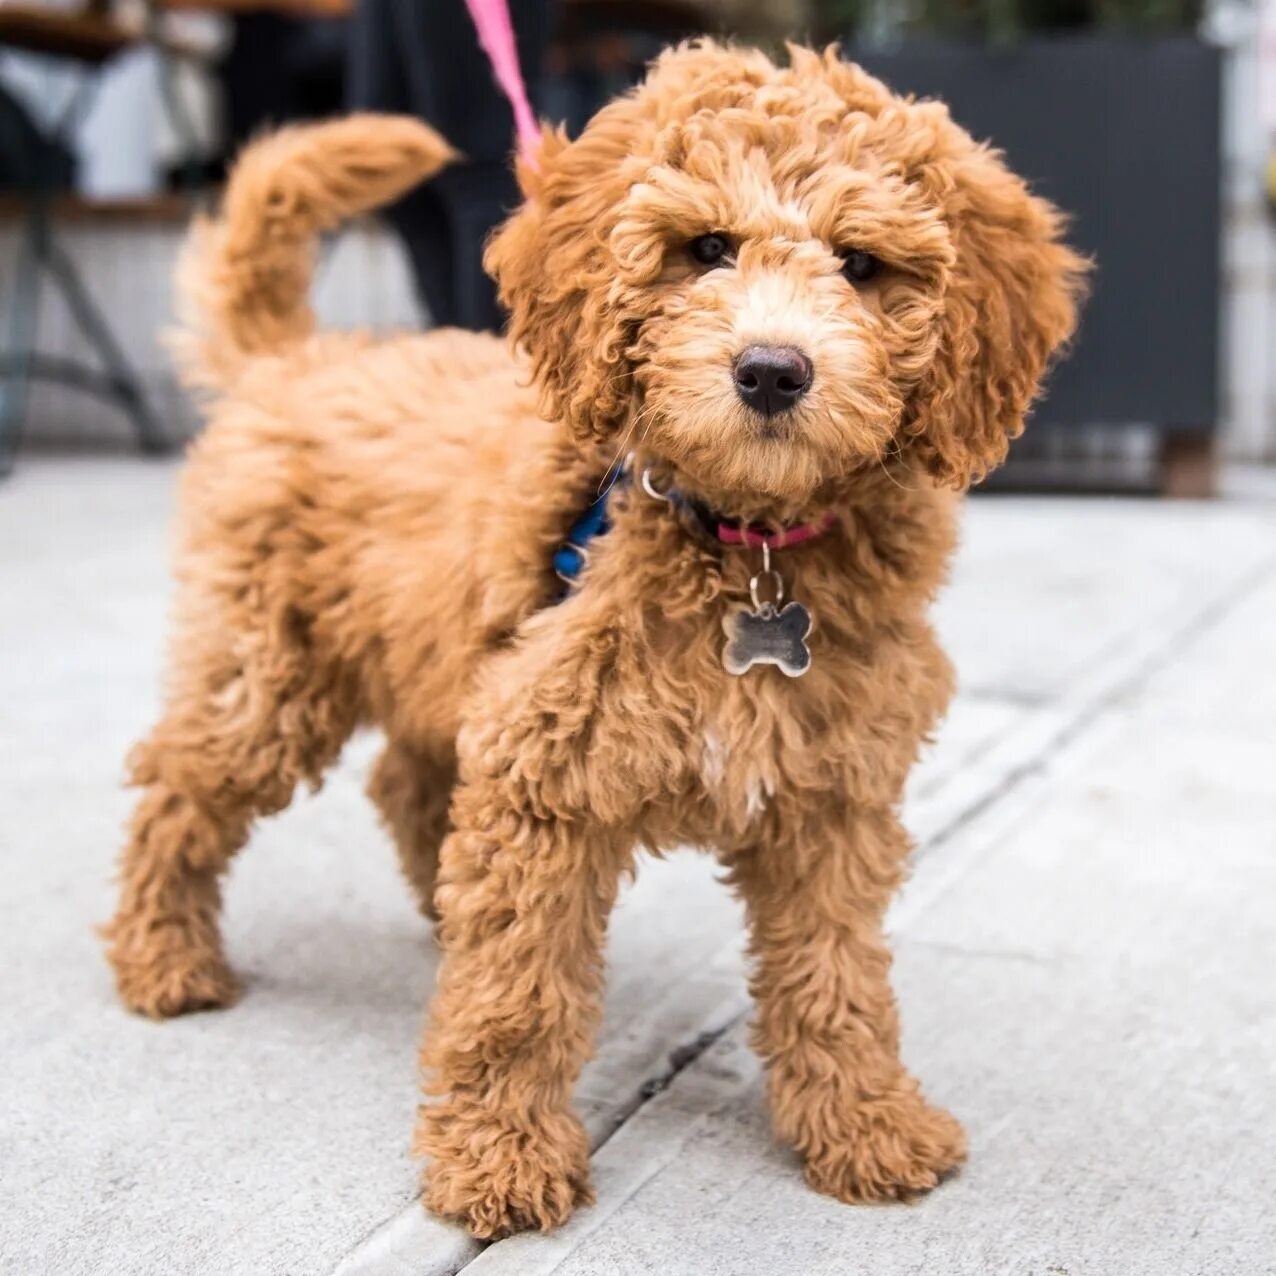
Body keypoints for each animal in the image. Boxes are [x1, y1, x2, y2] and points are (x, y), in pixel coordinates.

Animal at [104, 39, 1087, 1235]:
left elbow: (837, 975)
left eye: (859, 265)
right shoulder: (544, 774)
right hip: (271, 672)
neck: (746, 547)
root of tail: (298, 359)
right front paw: (499, 1158)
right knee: (179, 782)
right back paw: (162, 959)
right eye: (705, 248)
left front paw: (863, 1123)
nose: (771, 371)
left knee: (403, 778)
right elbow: (519, 990)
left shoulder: (832, 794)